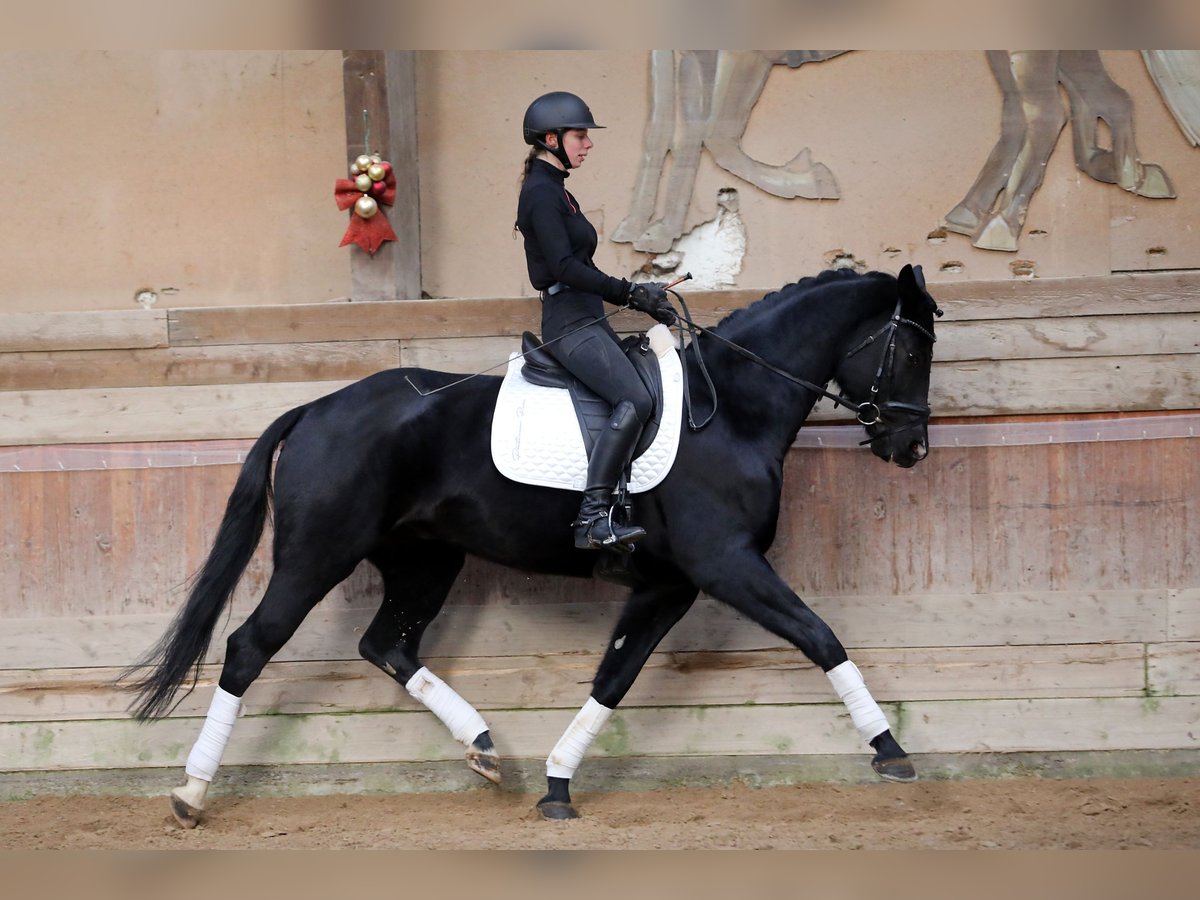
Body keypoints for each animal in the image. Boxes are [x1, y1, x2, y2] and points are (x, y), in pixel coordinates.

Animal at [126, 260, 940, 825]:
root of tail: (318, 407)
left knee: (387, 644)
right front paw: (891, 750)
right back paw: (191, 793)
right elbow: (820, 635)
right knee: (249, 648)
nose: (911, 448)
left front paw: (556, 785)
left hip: (425, 558)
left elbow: (613, 679)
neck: (732, 410)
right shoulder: (726, 563)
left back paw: (485, 749)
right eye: (911, 352)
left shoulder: (668, 583)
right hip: (317, 555)